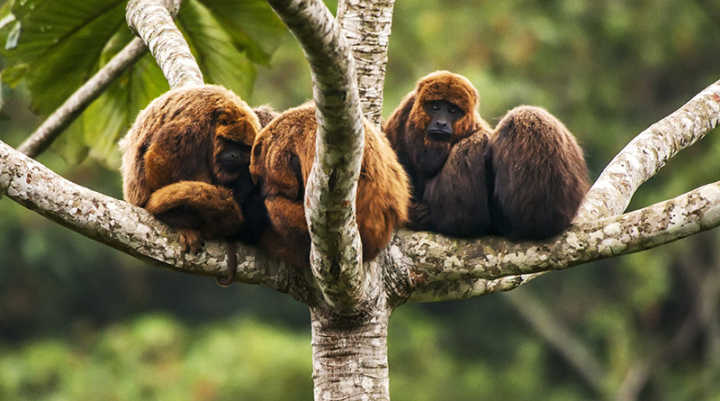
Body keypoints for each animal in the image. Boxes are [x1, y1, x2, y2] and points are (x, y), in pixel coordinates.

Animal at [121, 86, 268, 282]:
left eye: (243, 147)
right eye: (229, 141)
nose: (235, 155)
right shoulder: (194, 124)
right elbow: (160, 157)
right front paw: (178, 221)